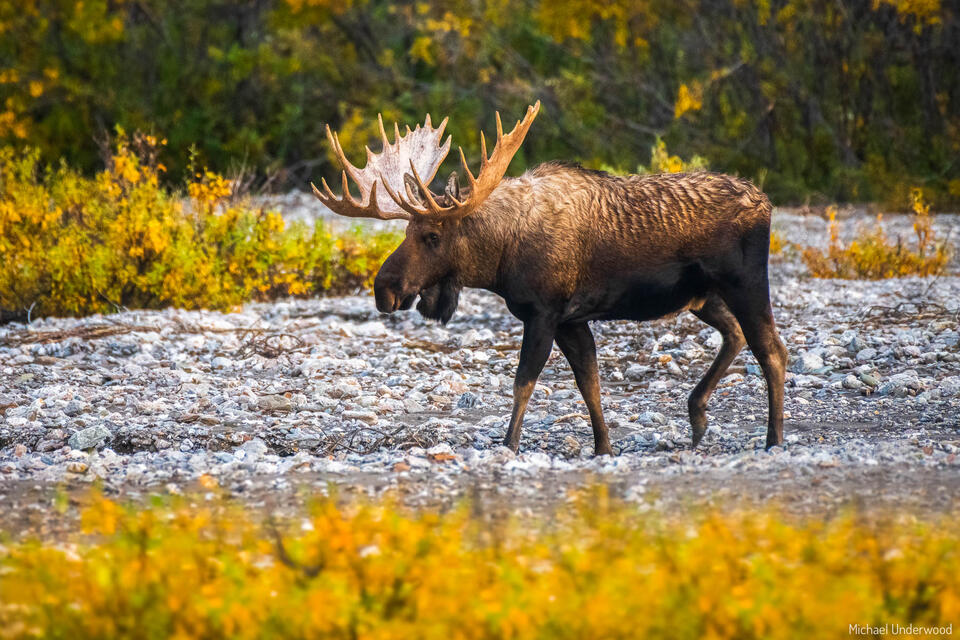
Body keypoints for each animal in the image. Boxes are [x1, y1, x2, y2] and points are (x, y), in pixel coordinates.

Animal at [311, 102, 788, 456]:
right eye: (406, 231)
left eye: (431, 235)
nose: (383, 289)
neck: (499, 259)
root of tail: (766, 202)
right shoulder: (572, 320)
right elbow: (589, 383)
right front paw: (603, 447)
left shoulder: (543, 312)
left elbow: (524, 381)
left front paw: (509, 444)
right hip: (702, 296)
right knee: (735, 336)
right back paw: (698, 415)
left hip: (744, 282)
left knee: (771, 350)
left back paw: (773, 439)